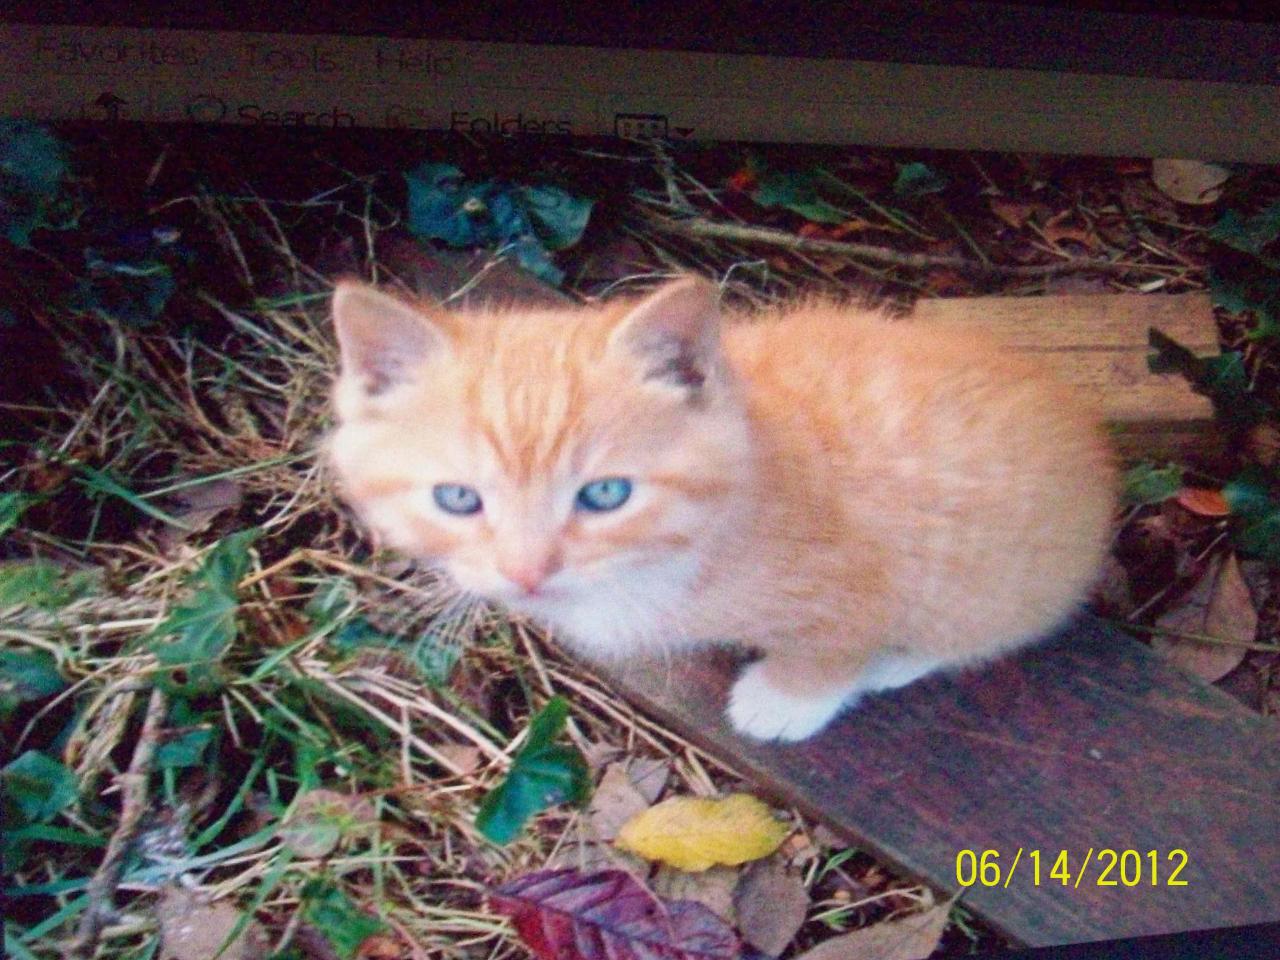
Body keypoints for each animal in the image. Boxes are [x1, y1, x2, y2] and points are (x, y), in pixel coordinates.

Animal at [326, 275, 1115, 742]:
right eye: (458, 498)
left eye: (605, 494)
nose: (526, 574)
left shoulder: (866, 571)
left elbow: (836, 640)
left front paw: (786, 701)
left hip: (996, 576)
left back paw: (896, 661)